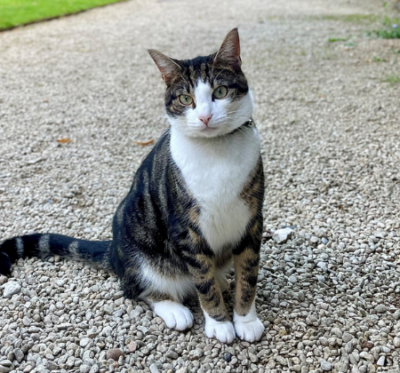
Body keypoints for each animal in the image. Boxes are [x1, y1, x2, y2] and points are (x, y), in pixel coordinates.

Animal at [1, 28, 268, 342]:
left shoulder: (251, 221)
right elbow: (202, 281)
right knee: (135, 288)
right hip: (142, 254)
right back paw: (174, 308)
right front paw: (219, 323)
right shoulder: (186, 229)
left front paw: (245, 319)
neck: (217, 153)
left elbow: (248, 275)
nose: (204, 117)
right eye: (185, 98)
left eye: (220, 92)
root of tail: (115, 251)